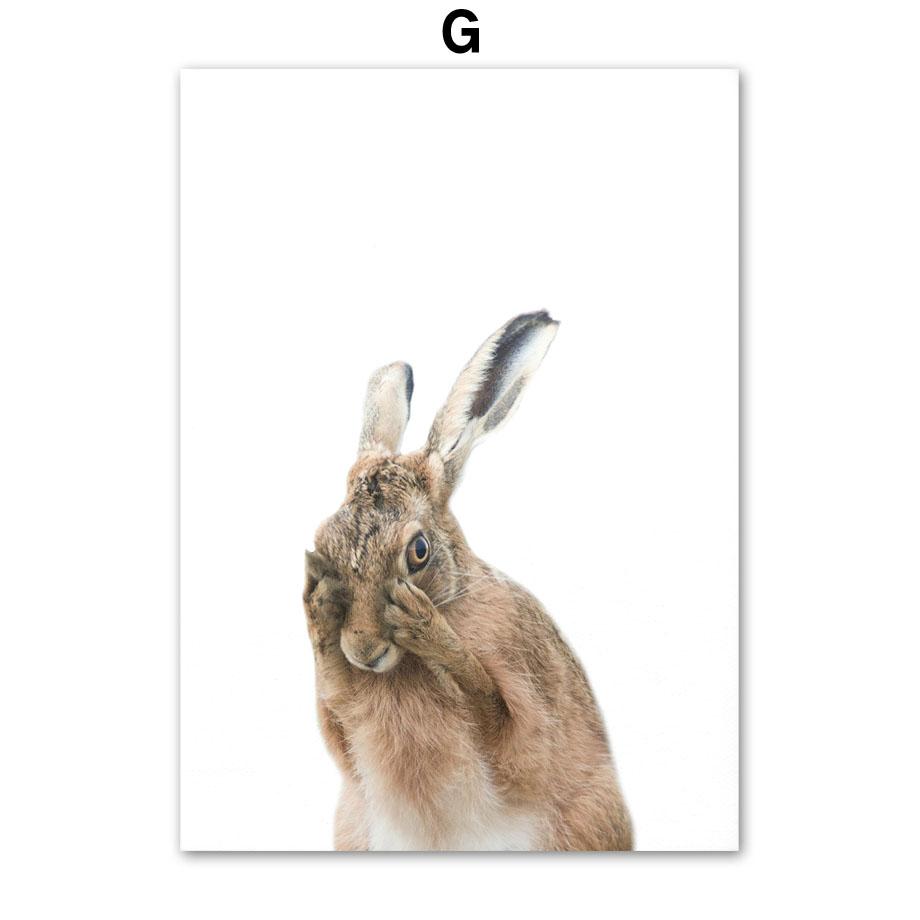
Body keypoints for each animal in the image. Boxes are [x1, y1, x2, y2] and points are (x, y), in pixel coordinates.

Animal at [303, 311, 632, 851]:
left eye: (418, 552)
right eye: (321, 546)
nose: (364, 650)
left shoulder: (525, 705)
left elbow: (489, 706)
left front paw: (426, 628)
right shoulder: (343, 736)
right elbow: (335, 703)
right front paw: (322, 619)